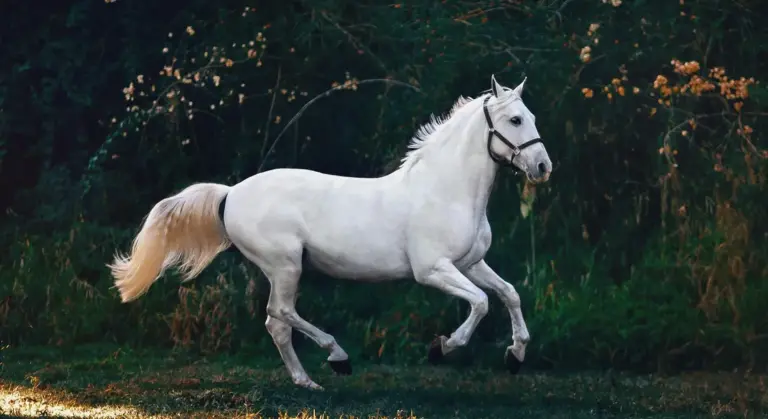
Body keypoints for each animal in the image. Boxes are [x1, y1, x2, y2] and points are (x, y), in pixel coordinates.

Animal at [109, 75, 552, 390]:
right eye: (515, 119)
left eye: (532, 117)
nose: (543, 167)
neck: (446, 190)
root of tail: (230, 193)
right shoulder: (433, 270)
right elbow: (480, 303)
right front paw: (441, 348)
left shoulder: (471, 263)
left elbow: (509, 294)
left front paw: (515, 355)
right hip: (285, 265)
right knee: (281, 314)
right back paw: (337, 358)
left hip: (284, 269)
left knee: (276, 323)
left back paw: (307, 381)